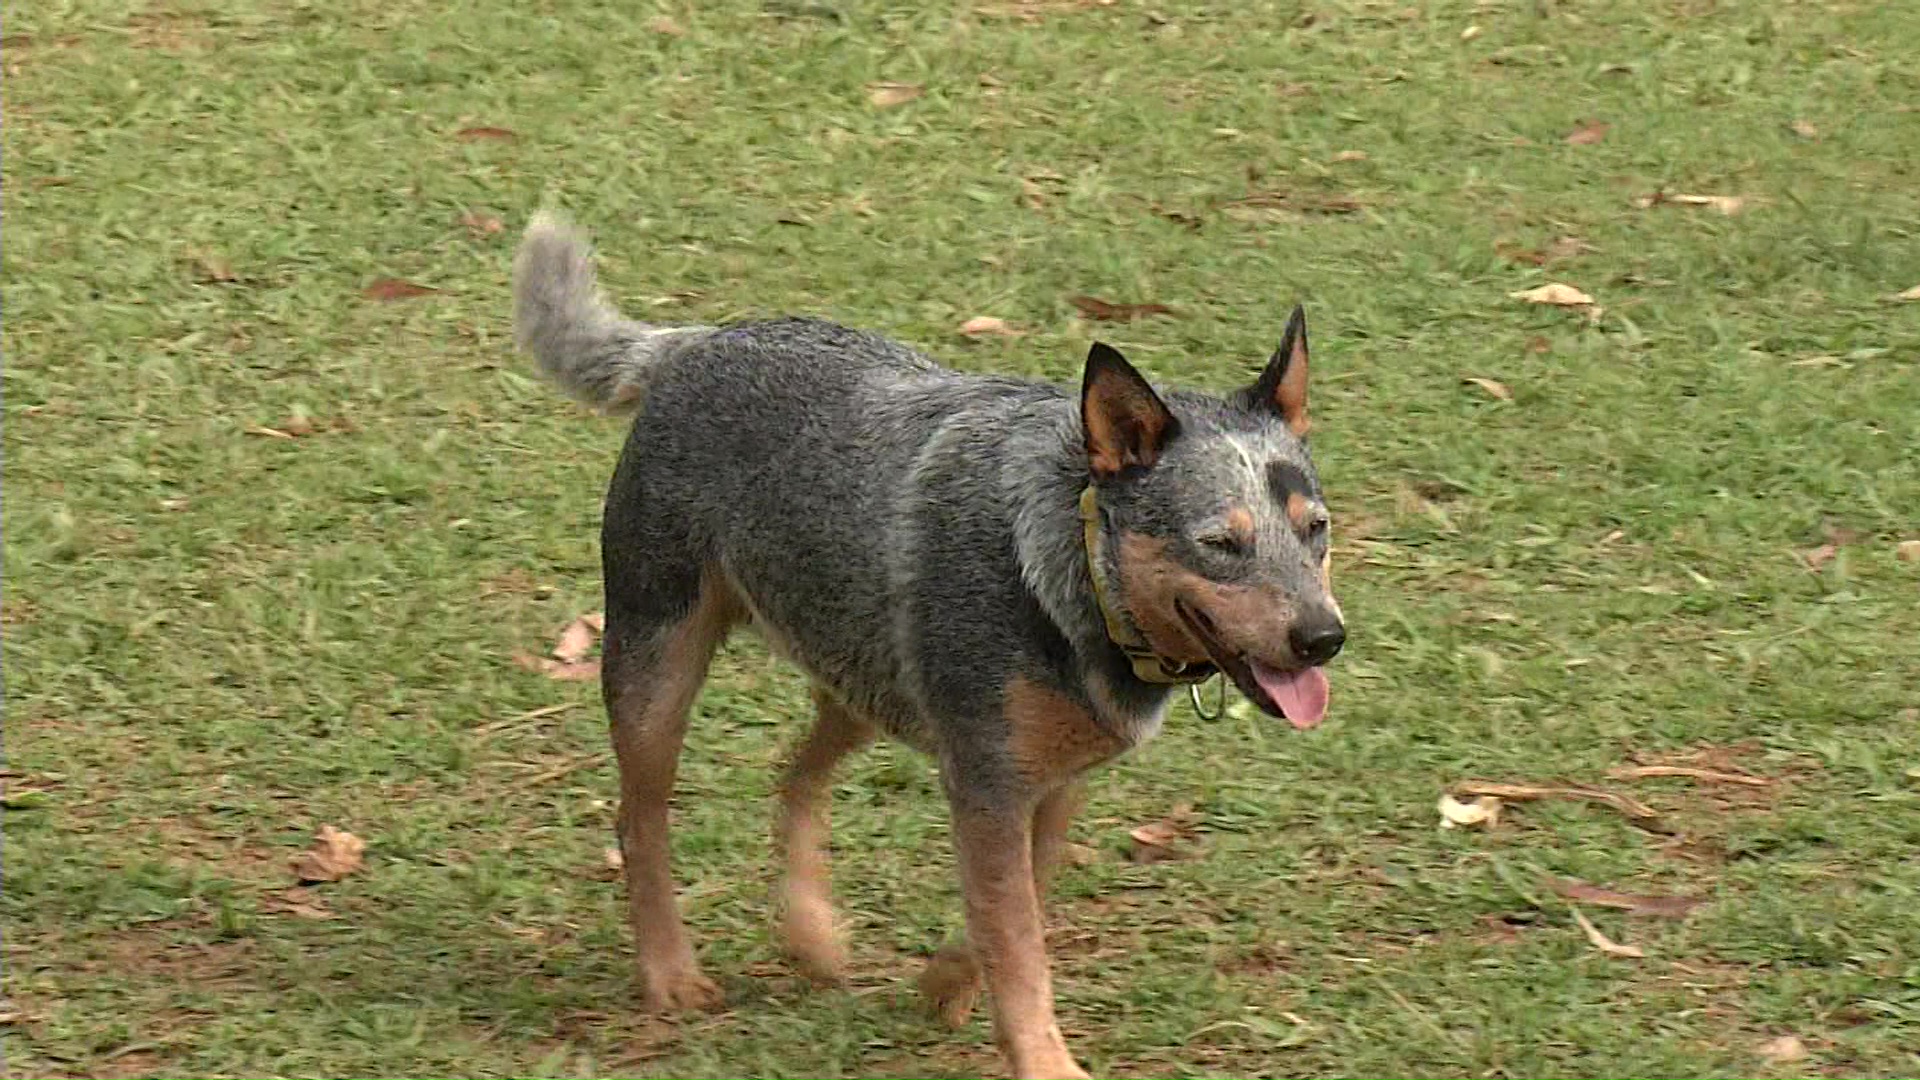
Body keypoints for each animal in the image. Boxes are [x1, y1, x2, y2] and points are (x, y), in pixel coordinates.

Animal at [514, 212, 1351, 1076]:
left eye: (1316, 529)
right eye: (1220, 543)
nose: (1324, 638)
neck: (1071, 569)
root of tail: (697, 342)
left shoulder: (1050, 782)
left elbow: (1016, 908)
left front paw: (946, 982)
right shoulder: (988, 783)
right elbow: (1016, 943)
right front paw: (1043, 1059)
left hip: (860, 680)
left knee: (794, 777)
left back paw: (810, 930)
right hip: (657, 667)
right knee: (640, 822)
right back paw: (672, 973)